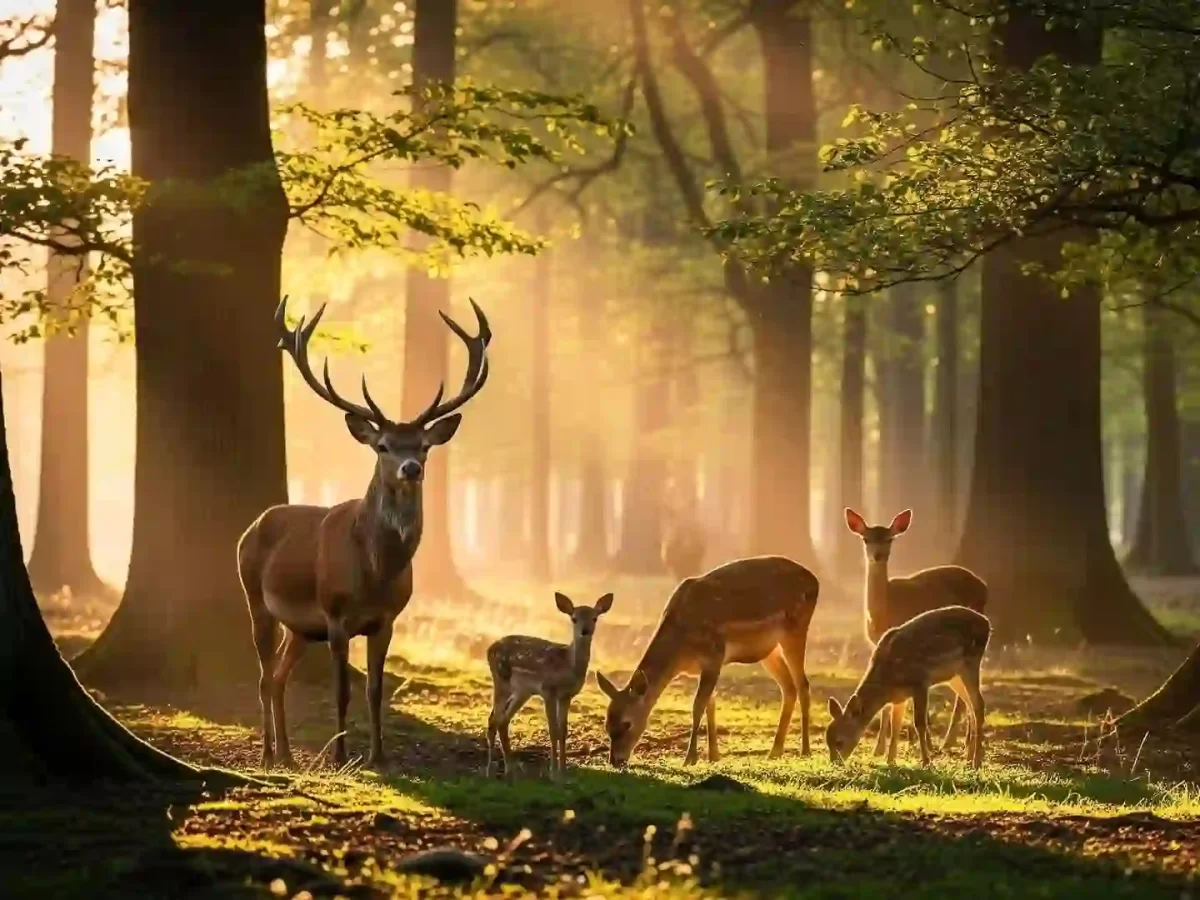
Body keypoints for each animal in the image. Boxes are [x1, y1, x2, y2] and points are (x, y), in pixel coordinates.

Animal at [237, 295, 492, 769]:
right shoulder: (335, 615)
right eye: (383, 445)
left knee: (279, 676)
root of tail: (252, 526)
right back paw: (266, 755)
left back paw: (287, 755)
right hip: (255, 598)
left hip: (300, 628)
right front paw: (339, 756)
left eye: (423, 446)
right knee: (263, 675)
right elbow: (342, 690)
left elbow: (374, 691)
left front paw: (378, 756)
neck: (375, 573)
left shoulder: (387, 620)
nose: (410, 468)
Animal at [485, 591, 613, 779]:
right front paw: (553, 774)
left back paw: (511, 769)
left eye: (595, 618)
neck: (568, 665)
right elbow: (553, 730)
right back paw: (489, 770)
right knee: (493, 720)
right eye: (574, 618)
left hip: (522, 691)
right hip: (501, 679)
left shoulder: (566, 696)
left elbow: (563, 731)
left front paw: (564, 772)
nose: (585, 631)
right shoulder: (548, 690)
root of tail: (488, 649)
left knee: (502, 720)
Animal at [596, 555, 819, 768]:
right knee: (788, 687)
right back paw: (775, 751)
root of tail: (815, 581)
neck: (681, 653)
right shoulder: (701, 667)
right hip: (769, 651)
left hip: (796, 630)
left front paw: (690, 758)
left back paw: (805, 750)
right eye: (607, 724)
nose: (615, 760)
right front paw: (713, 756)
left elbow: (697, 706)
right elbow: (710, 705)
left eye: (627, 723)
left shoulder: (714, 656)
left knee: (803, 685)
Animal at [826, 605, 990, 769]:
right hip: (955, 677)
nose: (835, 763)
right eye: (827, 741)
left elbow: (920, 724)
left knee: (978, 705)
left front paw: (926, 762)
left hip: (970, 663)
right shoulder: (899, 697)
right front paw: (890, 761)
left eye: (839, 742)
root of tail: (987, 624)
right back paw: (969, 758)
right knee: (970, 707)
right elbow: (895, 726)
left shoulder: (920, 683)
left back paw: (976, 761)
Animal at [844, 508, 988, 761]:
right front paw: (880, 749)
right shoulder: (877, 645)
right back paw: (964, 746)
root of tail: (986, 588)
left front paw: (914, 745)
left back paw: (953, 744)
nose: (878, 555)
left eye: (890, 538)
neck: (884, 611)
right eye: (866, 539)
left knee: (967, 696)